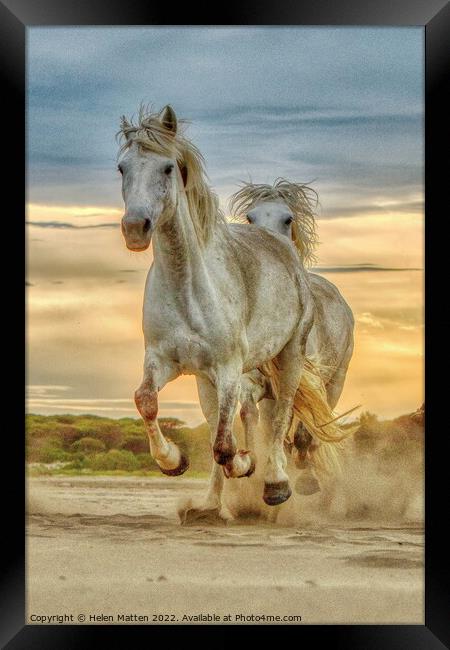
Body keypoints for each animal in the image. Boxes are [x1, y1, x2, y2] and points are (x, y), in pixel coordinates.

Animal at [119, 107, 316, 520]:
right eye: (122, 168)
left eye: (167, 167)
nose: (135, 228)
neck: (188, 292)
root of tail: (280, 242)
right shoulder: (163, 360)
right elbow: (146, 401)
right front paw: (172, 460)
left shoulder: (228, 369)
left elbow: (226, 446)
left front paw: (247, 463)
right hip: (205, 381)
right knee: (226, 423)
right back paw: (210, 504)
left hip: (289, 355)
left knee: (280, 413)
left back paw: (275, 483)